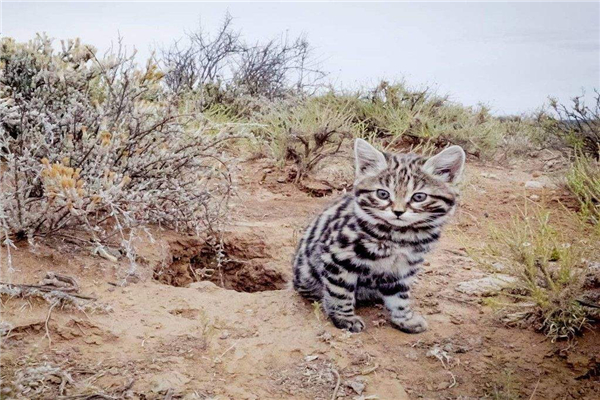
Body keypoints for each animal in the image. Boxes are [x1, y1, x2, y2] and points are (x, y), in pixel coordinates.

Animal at [292, 139, 466, 332]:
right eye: (382, 194)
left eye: (419, 197)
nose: (398, 212)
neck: (400, 237)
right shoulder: (337, 256)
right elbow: (340, 291)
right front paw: (344, 318)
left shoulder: (402, 268)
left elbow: (400, 296)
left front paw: (404, 319)